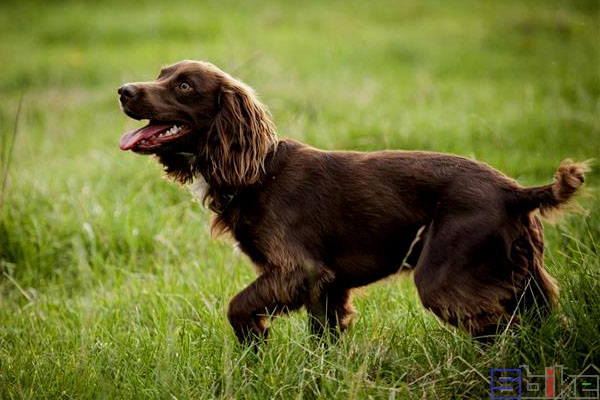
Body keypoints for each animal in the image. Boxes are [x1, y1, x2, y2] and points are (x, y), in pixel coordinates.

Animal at [117, 61, 584, 342]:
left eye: (183, 85)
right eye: (161, 73)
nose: (122, 90)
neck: (258, 172)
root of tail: (514, 192)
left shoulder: (298, 270)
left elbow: (237, 306)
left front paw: (256, 343)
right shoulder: (326, 287)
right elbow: (323, 339)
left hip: (446, 277)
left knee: (505, 330)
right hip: (526, 278)